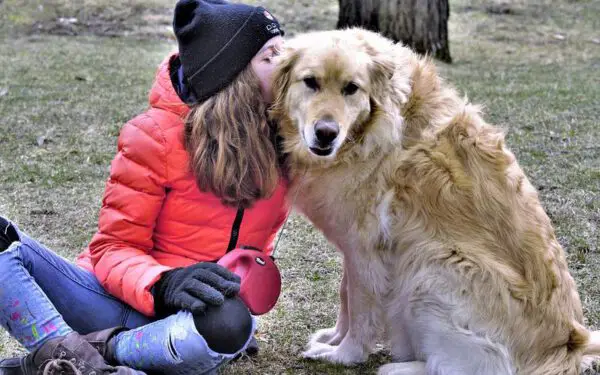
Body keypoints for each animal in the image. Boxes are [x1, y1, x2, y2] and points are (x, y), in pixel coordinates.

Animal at [270, 27, 600, 375]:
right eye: (310, 82)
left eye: (351, 89)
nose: (326, 133)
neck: (368, 132)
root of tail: (569, 346)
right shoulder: (353, 245)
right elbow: (346, 295)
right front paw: (334, 337)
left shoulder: (366, 247)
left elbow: (359, 308)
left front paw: (344, 353)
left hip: (431, 266)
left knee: (478, 365)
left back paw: (398, 368)